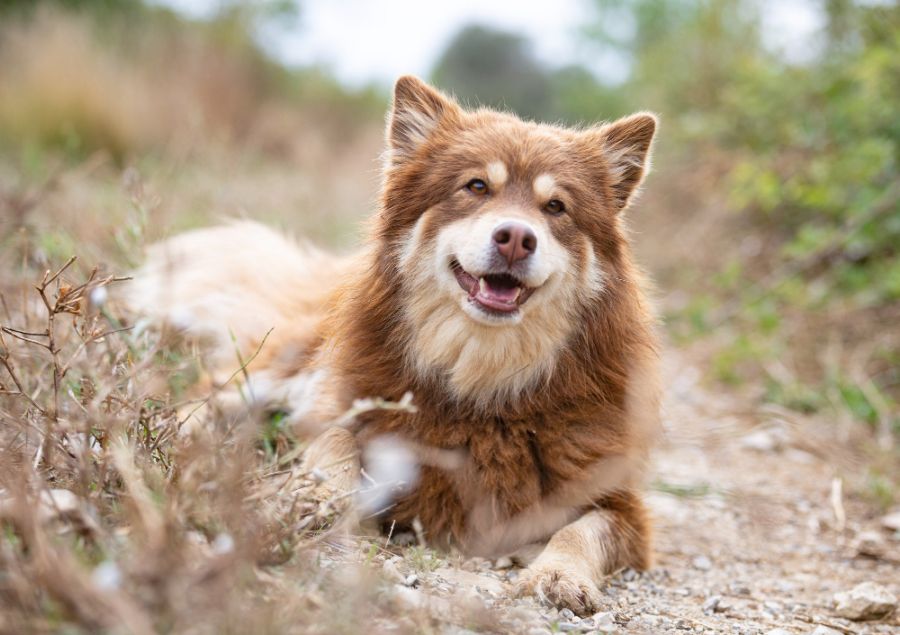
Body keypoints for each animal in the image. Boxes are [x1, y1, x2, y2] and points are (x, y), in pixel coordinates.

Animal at [128, 76, 660, 616]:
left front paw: (558, 574)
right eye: (476, 187)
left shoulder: (619, 507)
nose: (514, 237)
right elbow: (334, 444)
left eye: (555, 207)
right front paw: (316, 496)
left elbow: (583, 531)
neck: (481, 380)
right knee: (207, 395)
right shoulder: (343, 406)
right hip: (277, 375)